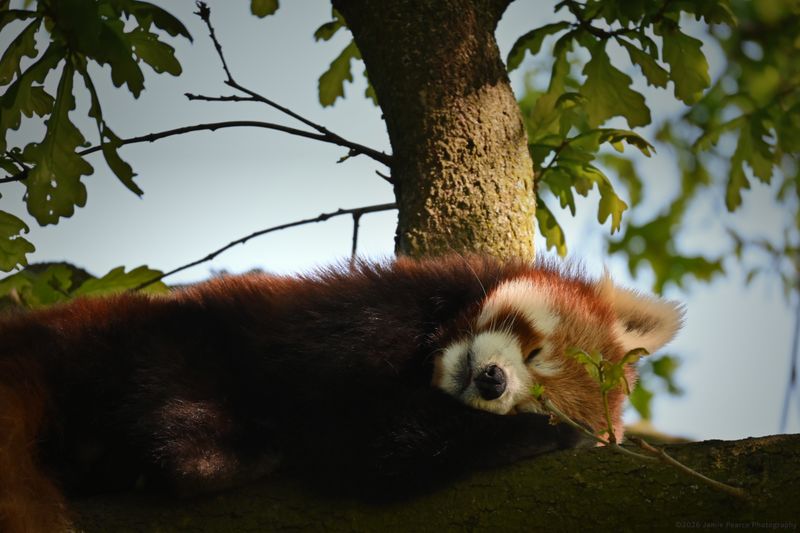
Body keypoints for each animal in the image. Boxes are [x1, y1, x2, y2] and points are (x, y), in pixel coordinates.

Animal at [0, 255, 682, 532]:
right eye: (537, 354)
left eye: (539, 395)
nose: (494, 382)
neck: (429, 360)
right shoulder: (367, 315)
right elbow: (351, 431)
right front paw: (543, 438)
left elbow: (371, 447)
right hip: (161, 335)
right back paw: (206, 459)